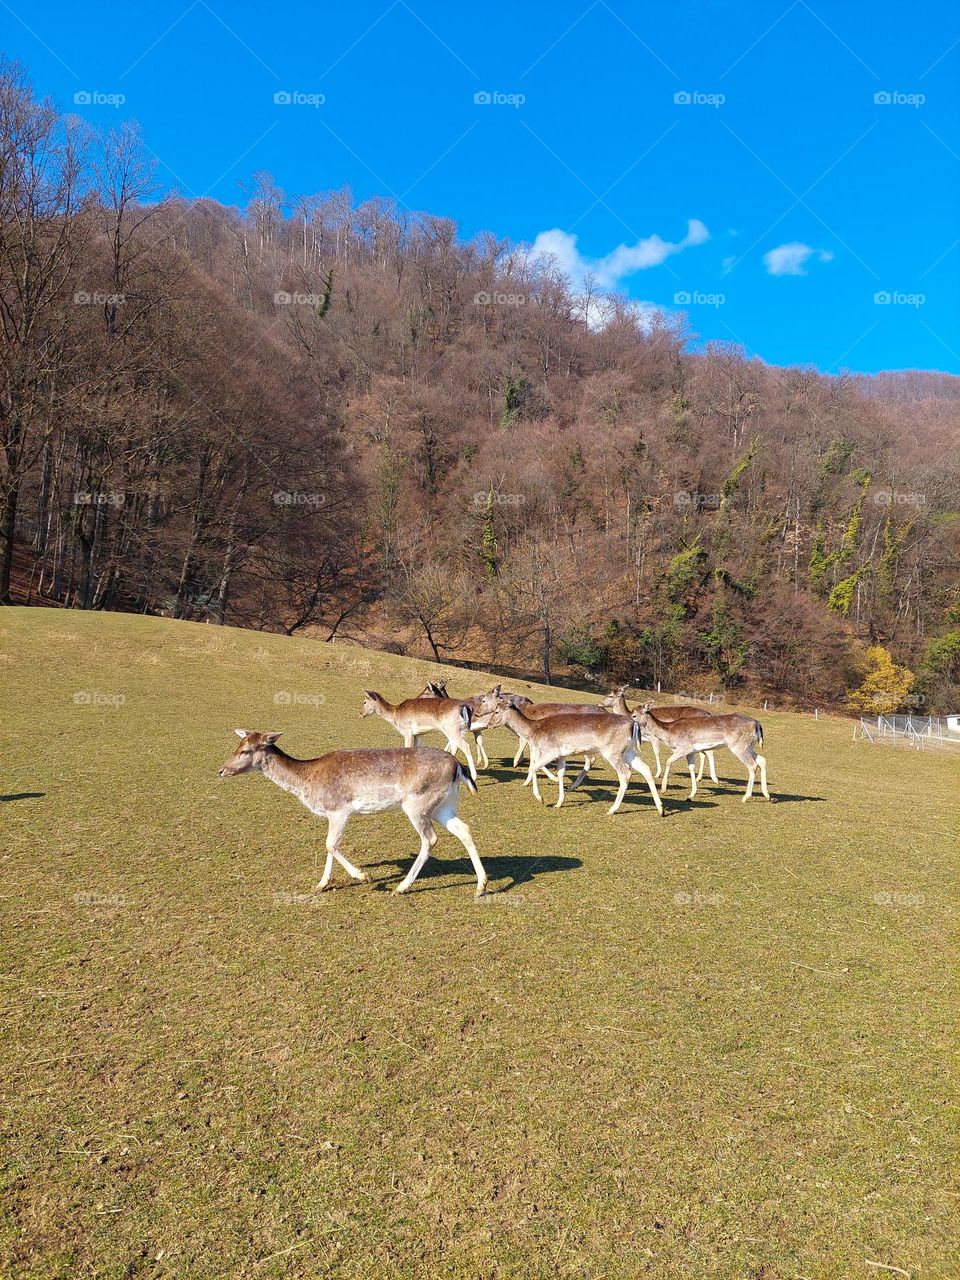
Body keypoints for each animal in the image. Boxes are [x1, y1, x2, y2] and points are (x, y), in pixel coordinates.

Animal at [217, 732, 488, 901]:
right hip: (444, 806)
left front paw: (364, 876)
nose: (221, 770)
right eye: (237, 747)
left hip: (417, 804)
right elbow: (329, 846)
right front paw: (321, 884)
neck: (308, 780)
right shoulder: (331, 814)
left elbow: (330, 844)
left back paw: (401, 887)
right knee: (464, 829)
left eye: (245, 751)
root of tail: (458, 766)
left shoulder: (340, 809)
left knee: (430, 839)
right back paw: (480, 886)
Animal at [473, 691, 660, 819]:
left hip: (612, 751)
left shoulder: (550, 750)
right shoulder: (562, 755)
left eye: (496, 711)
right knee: (645, 769)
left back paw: (612, 809)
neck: (533, 730)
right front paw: (558, 802)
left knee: (625, 773)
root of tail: (633, 724)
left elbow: (534, 767)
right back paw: (660, 809)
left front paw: (540, 798)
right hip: (629, 751)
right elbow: (561, 774)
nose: (488, 724)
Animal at [632, 706, 773, 803]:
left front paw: (664, 789)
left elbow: (668, 761)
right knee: (762, 760)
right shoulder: (691, 752)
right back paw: (767, 795)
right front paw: (690, 795)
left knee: (752, 765)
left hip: (739, 746)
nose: (630, 721)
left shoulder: (683, 748)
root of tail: (757, 724)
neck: (669, 731)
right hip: (749, 746)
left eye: (634, 715)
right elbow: (691, 768)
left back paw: (745, 797)